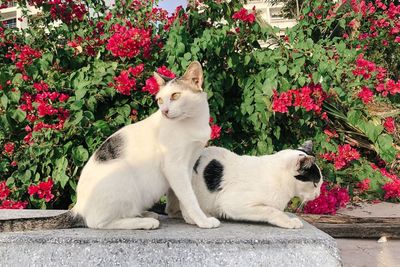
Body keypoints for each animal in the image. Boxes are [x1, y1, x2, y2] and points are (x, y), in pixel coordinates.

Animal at [0, 61, 220, 232]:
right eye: (160, 100)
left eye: (175, 96)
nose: (165, 111)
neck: (192, 122)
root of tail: (78, 207)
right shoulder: (174, 166)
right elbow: (189, 197)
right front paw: (202, 220)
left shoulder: (187, 165)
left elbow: (183, 196)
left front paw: (191, 219)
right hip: (122, 174)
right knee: (98, 223)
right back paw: (144, 222)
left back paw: (144, 214)